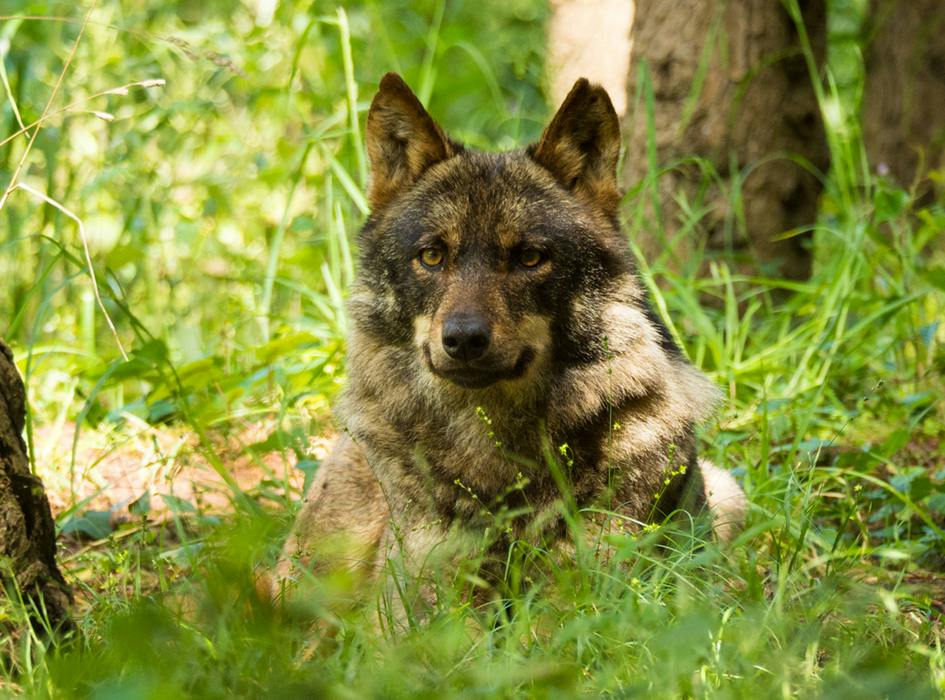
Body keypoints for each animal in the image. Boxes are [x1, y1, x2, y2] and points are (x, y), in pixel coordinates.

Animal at [273, 73, 746, 605]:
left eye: (529, 257)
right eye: (432, 256)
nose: (463, 339)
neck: (494, 453)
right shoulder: (419, 601)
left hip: (729, 494)